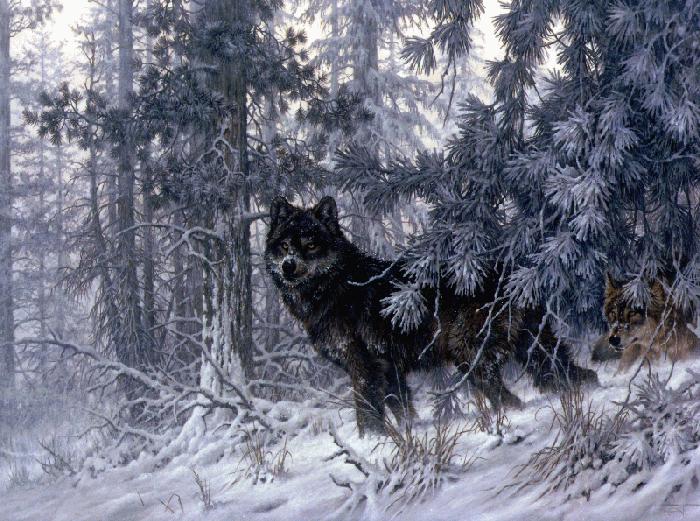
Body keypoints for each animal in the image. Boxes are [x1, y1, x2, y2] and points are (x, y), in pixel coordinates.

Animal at [265, 196, 598, 435]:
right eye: (284, 245)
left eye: (310, 245)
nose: (288, 266)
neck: (336, 287)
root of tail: (516, 273)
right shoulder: (390, 369)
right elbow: (402, 410)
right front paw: (406, 435)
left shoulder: (365, 366)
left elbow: (367, 413)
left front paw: (371, 442)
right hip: (533, 349)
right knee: (571, 375)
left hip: (469, 354)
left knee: (507, 398)